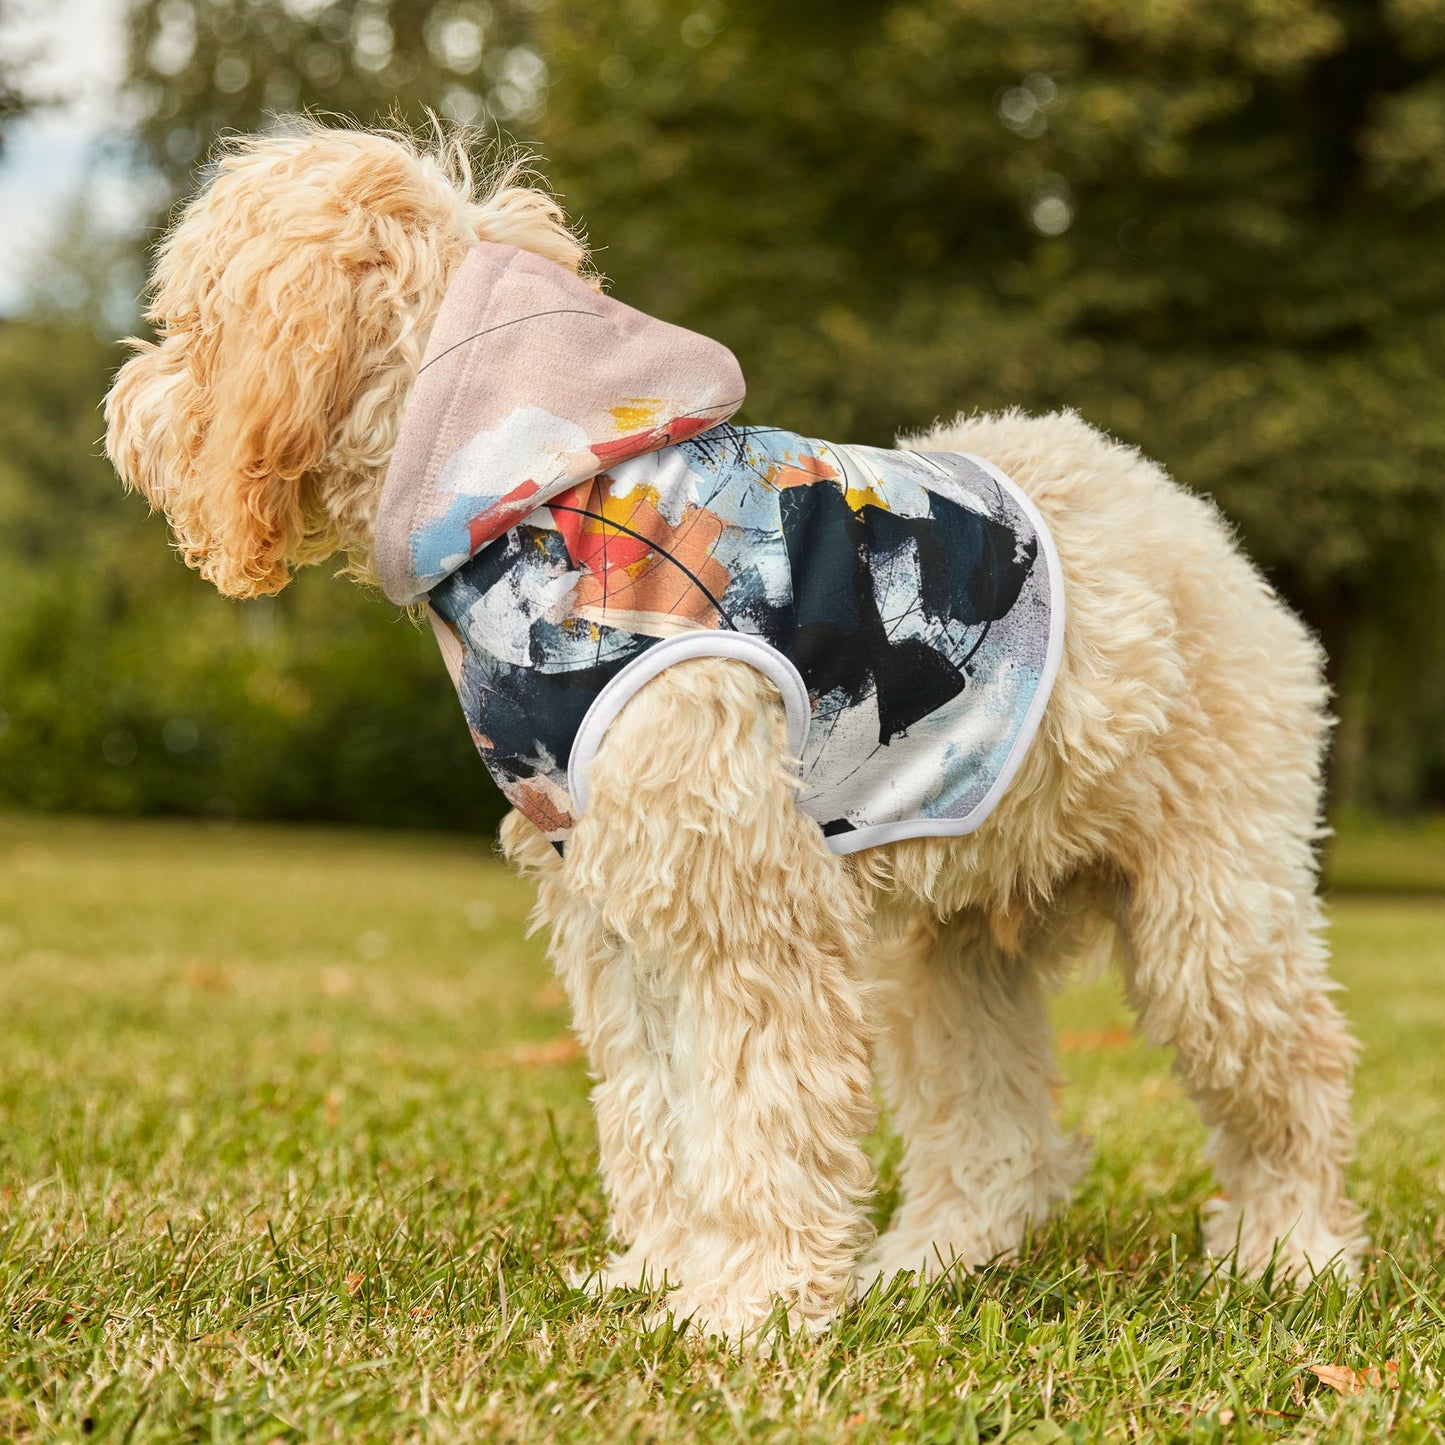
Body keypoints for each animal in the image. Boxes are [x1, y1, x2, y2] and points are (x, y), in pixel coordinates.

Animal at [104, 127, 1364, 1340]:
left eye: (191, 322)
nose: (124, 407)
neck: (542, 497)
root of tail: (1185, 517)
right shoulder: (616, 907)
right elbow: (656, 1111)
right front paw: (661, 1272)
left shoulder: (743, 902)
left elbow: (760, 1108)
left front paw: (748, 1303)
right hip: (950, 947)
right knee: (994, 1132)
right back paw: (930, 1259)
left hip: (1212, 910)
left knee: (1292, 1074)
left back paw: (1290, 1250)